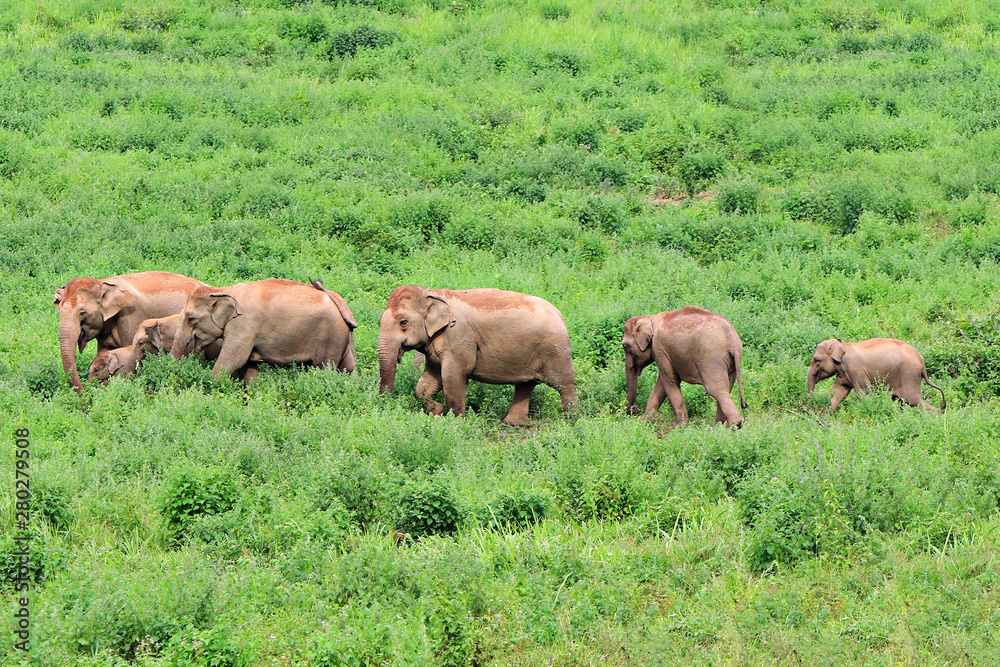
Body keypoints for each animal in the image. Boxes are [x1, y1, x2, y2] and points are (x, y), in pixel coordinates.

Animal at [55, 271, 205, 391]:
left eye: (82, 313)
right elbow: (104, 352)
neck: (102, 282)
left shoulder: (130, 316)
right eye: (59, 310)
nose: (85, 389)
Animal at [172, 278, 357, 379]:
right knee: (348, 368)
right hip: (343, 337)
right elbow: (249, 367)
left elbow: (233, 361)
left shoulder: (244, 325)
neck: (221, 290)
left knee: (324, 368)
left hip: (330, 336)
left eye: (191, 319)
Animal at [377, 284, 579, 425]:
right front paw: (437, 412)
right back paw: (513, 424)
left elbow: (453, 377)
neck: (432, 293)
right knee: (525, 385)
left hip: (555, 349)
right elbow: (427, 382)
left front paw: (456, 423)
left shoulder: (459, 338)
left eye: (403, 322)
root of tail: (560, 314)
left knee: (563, 384)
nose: (384, 404)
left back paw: (572, 422)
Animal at [807, 338, 945, 413]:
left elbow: (863, 393)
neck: (843, 346)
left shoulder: (855, 369)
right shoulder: (844, 374)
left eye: (816, 360)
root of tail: (921, 360)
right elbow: (838, 393)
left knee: (912, 400)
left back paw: (938, 414)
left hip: (909, 375)